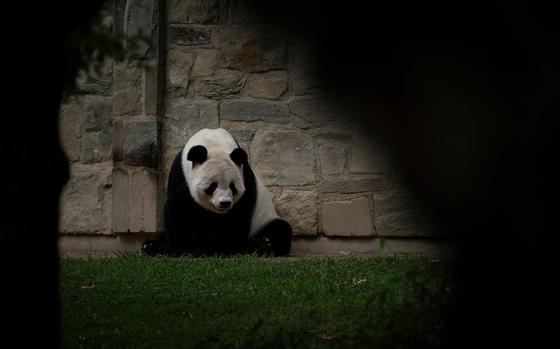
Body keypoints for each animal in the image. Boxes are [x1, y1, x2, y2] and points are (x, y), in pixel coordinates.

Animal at [143, 128, 294, 256]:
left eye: (232, 186)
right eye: (212, 186)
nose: (224, 203)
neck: (213, 142)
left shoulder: (244, 176)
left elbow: (236, 218)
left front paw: (218, 248)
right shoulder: (180, 174)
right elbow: (177, 209)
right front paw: (179, 248)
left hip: (264, 220)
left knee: (280, 230)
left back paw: (260, 245)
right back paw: (151, 245)